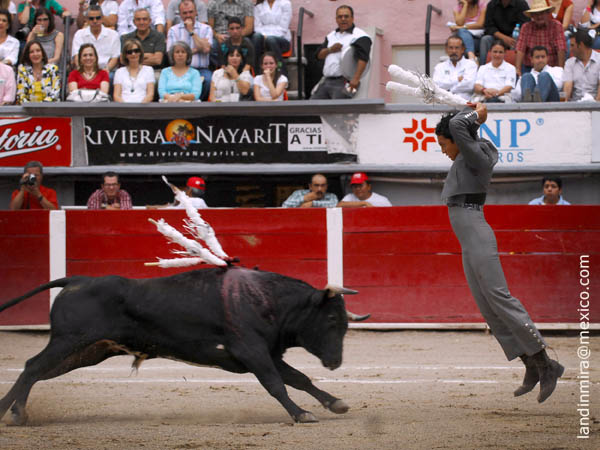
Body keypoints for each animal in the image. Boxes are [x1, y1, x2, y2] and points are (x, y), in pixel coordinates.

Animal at [0, 268, 368, 426]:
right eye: (331, 321)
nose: (335, 362)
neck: (266, 300)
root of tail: (77, 280)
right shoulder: (252, 352)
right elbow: (277, 385)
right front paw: (301, 414)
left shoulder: (267, 354)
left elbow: (299, 378)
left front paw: (335, 403)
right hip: (69, 342)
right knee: (32, 367)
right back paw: (13, 413)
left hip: (86, 352)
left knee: (35, 372)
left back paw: (16, 412)